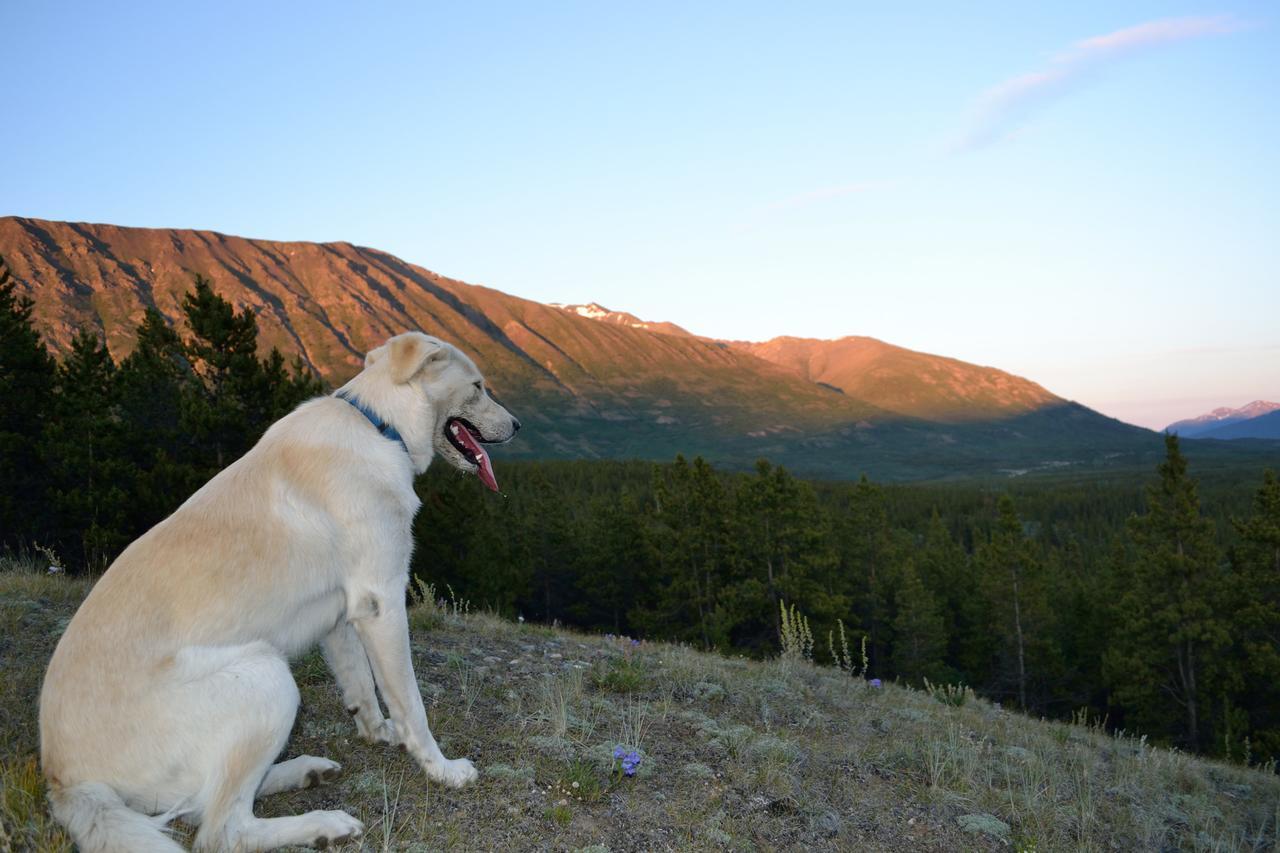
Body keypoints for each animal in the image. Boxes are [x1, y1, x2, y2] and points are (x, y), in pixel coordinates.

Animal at [40, 333, 519, 850]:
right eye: (478, 386)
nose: (517, 425)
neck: (381, 426)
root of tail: (65, 783)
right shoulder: (382, 603)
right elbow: (411, 703)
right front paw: (443, 770)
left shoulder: (345, 614)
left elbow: (362, 686)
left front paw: (378, 734)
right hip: (267, 676)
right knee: (222, 828)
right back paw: (325, 823)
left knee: (203, 802)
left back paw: (305, 771)